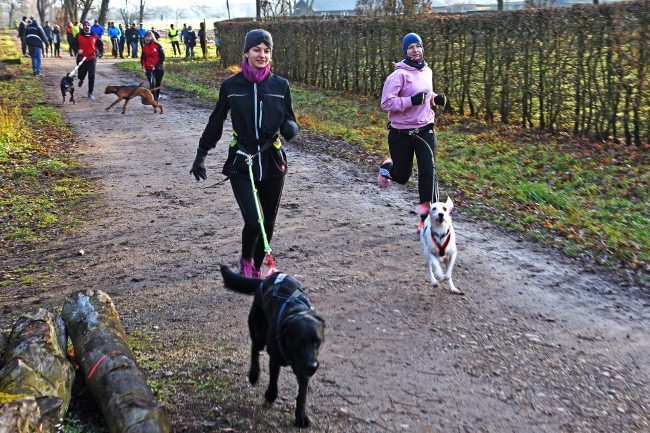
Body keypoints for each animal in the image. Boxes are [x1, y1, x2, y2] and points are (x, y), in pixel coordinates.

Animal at [220, 264, 324, 426]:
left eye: (317, 342)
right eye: (298, 342)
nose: (313, 366)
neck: (295, 313)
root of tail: (265, 280)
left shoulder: (305, 365)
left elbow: (302, 393)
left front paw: (301, 416)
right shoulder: (275, 359)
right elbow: (274, 380)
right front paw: (270, 395)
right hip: (259, 334)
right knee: (254, 349)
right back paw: (254, 374)